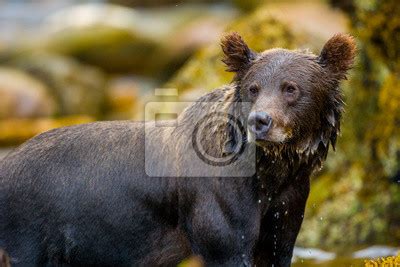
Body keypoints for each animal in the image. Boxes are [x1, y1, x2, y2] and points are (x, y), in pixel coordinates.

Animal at [0, 32, 356, 266]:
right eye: (253, 88)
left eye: (291, 88)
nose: (261, 120)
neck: (270, 173)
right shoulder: (219, 208)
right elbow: (228, 242)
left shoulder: (287, 204)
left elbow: (277, 245)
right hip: (29, 231)